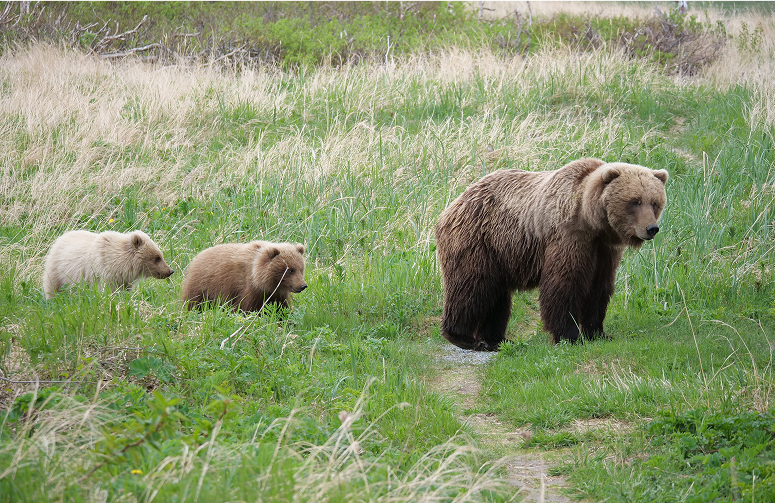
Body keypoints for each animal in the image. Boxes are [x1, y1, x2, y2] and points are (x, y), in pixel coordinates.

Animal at [42, 230, 174, 299]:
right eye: (157, 257)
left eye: (160, 255)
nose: (170, 271)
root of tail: (60, 237)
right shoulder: (103, 272)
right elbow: (107, 291)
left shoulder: (124, 281)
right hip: (57, 272)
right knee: (52, 288)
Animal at [435, 157, 668, 351]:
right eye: (635, 201)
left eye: (655, 202)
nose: (651, 228)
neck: (592, 221)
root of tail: (454, 203)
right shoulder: (568, 236)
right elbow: (564, 284)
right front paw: (569, 336)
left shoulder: (604, 250)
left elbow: (599, 289)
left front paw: (598, 333)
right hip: (478, 241)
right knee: (472, 286)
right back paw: (464, 337)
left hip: (499, 254)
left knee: (497, 296)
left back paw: (496, 339)